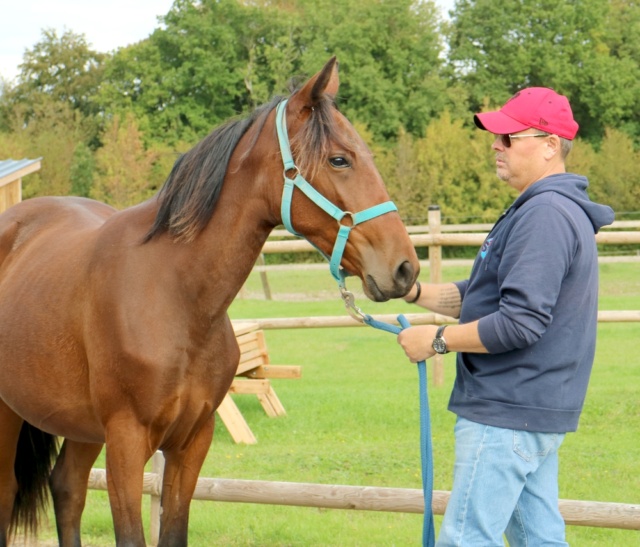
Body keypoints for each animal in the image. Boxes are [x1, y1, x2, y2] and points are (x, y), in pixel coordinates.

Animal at [0, 57, 420, 544]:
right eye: (340, 159)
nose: (404, 269)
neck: (175, 295)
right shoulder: (126, 442)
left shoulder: (192, 441)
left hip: (81, 424)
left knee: (67, 487)